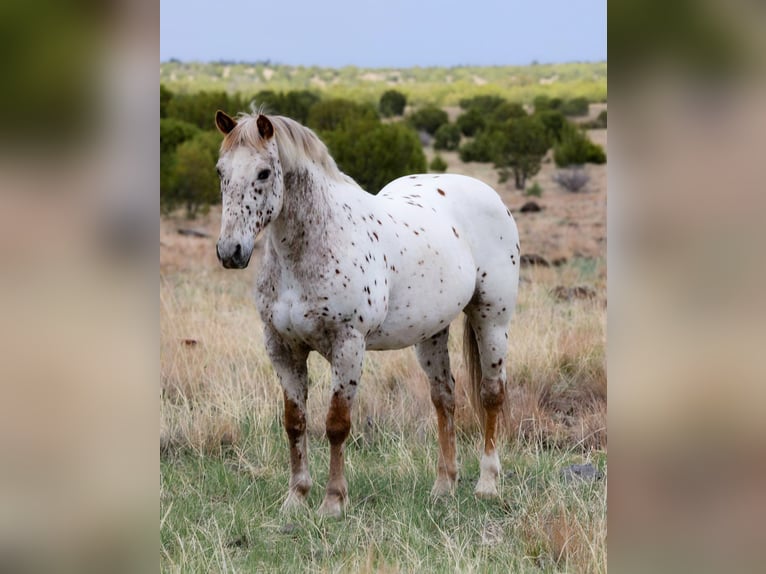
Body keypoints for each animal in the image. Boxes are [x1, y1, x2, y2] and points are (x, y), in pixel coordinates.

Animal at [213, 109, 520, 517]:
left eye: (264, 173)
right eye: (221, 171)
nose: (231, 251)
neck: (312, 248)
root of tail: (488, 194)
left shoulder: (348, 345)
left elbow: (336, 424)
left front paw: (333, 502)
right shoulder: (282, 348)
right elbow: (295, 423)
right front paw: (296, 498)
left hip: (492, 319)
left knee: (491, 394)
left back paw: (487, 484)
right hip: (431, 334)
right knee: (444, 398)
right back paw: (444, 486)